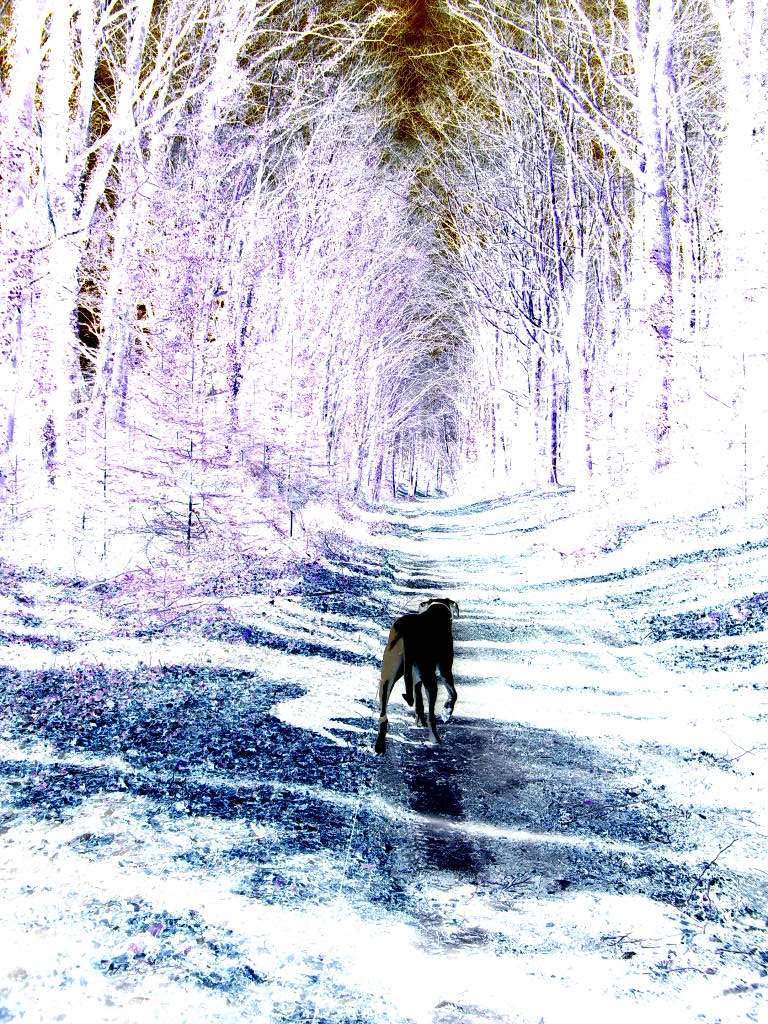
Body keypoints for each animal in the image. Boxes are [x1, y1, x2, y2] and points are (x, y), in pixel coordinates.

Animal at [376, 598, 460, 757]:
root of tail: (408, 634)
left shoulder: (416, 677)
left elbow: (419, 700)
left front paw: (418, 720)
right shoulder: (445, 669)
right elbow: (453, 694)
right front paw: (447, 712)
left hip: (387, 677)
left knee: (383, 715)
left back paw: (379, 746)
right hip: (431, 679)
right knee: (431, 716)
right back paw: (434, 738)